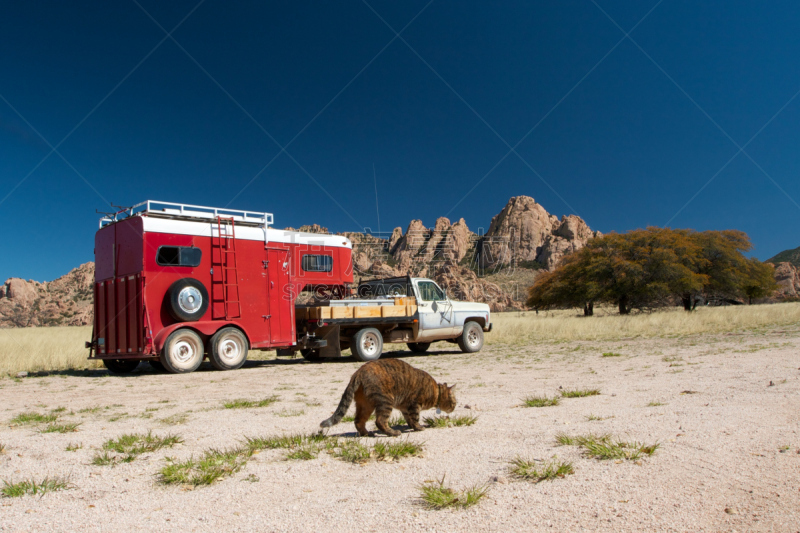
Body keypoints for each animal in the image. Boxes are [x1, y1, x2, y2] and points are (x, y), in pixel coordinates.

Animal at [318, 358, 456, 436]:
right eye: (454, 402)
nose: (454, 408)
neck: (436, 391)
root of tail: (358, 372)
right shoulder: (414, 404)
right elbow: (415, 418)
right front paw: (418, 427)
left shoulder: (405, 408)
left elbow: (410, 419)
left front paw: (412, 426)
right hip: (386, 401)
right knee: (380, 421)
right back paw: (392, 433)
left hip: (365, 405)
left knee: (358, 421)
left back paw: (366, 433)